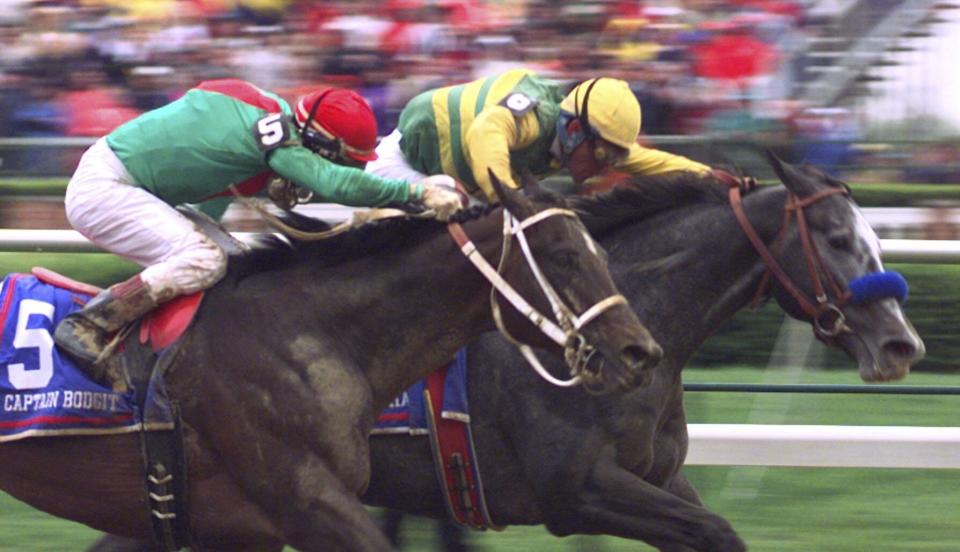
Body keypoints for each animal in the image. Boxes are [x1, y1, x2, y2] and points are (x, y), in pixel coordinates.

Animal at [0, 179, 660, 548]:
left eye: (601, 250)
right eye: (564, 255)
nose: (640, 352)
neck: (312, 333)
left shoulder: (235, 527)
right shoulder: (308, 502)